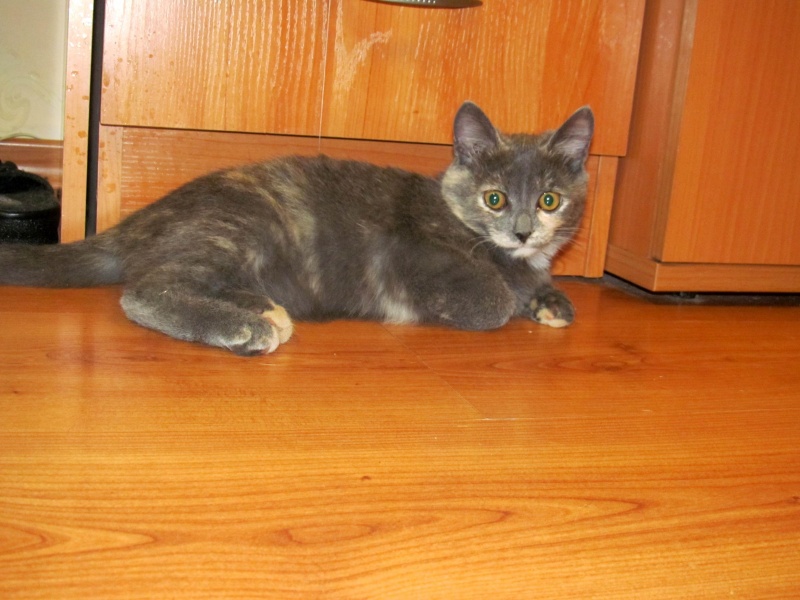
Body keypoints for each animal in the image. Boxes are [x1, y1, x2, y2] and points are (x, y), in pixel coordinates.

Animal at [0, 102, 594, 355]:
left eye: (549, 200)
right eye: (494, 199)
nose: (523, 231)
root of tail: (138, 222)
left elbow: (547, 291)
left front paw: (550, 302)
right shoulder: (418, 262)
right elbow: (493, 299)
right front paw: (517, 297)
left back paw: (261, 308)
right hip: (247, 220)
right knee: (145, 291)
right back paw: (245, 327)